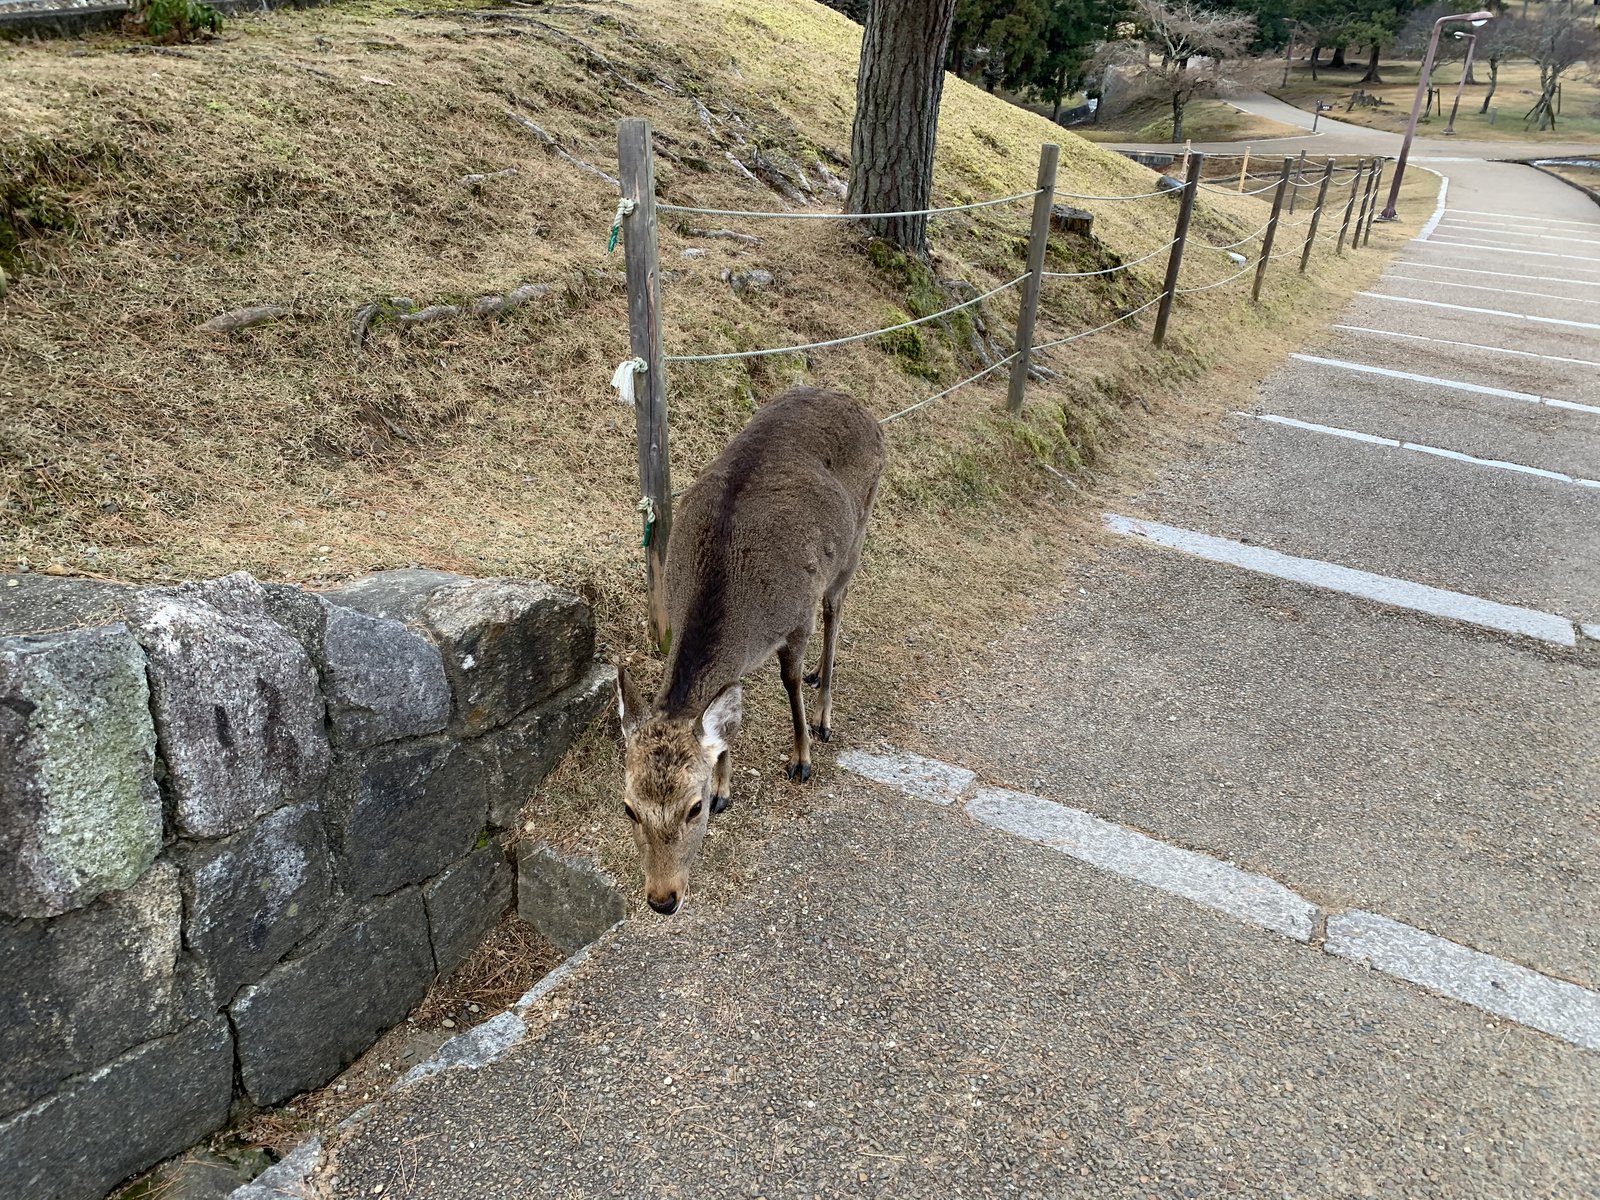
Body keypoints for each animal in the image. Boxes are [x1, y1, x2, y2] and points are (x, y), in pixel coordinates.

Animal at [616, 385, 886, 916]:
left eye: (693, 807)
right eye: (629, 808)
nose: (663, 899)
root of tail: (861, 406)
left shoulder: (796, 616)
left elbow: (788, 682)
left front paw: (800, 759)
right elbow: (727, 717)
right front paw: (726, 784)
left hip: (855, 538)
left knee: (836, 610)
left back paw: (824, 710)